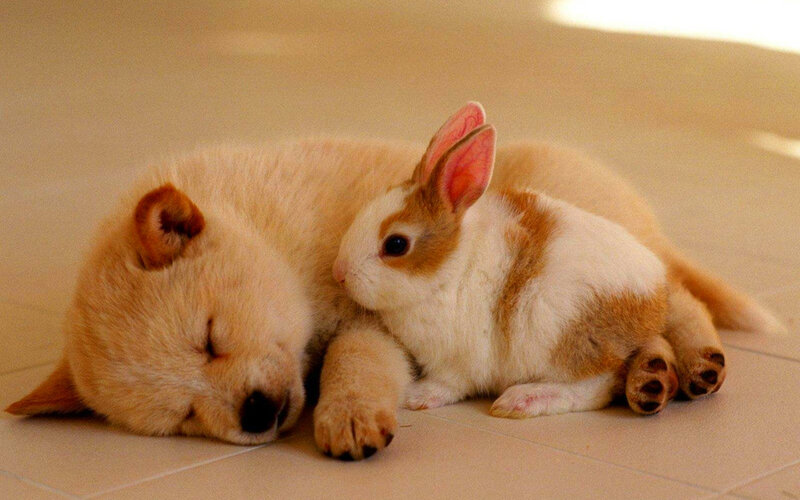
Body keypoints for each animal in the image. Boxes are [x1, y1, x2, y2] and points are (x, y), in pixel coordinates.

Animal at [334, 106, 690, 417]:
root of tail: (655, 301)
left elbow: (448, 385)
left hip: (560, 337)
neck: (449, 270)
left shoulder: (457, 363)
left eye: (396, 245)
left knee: (596, 386)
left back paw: (522, 400)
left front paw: (415, 397)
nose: (339, 273)